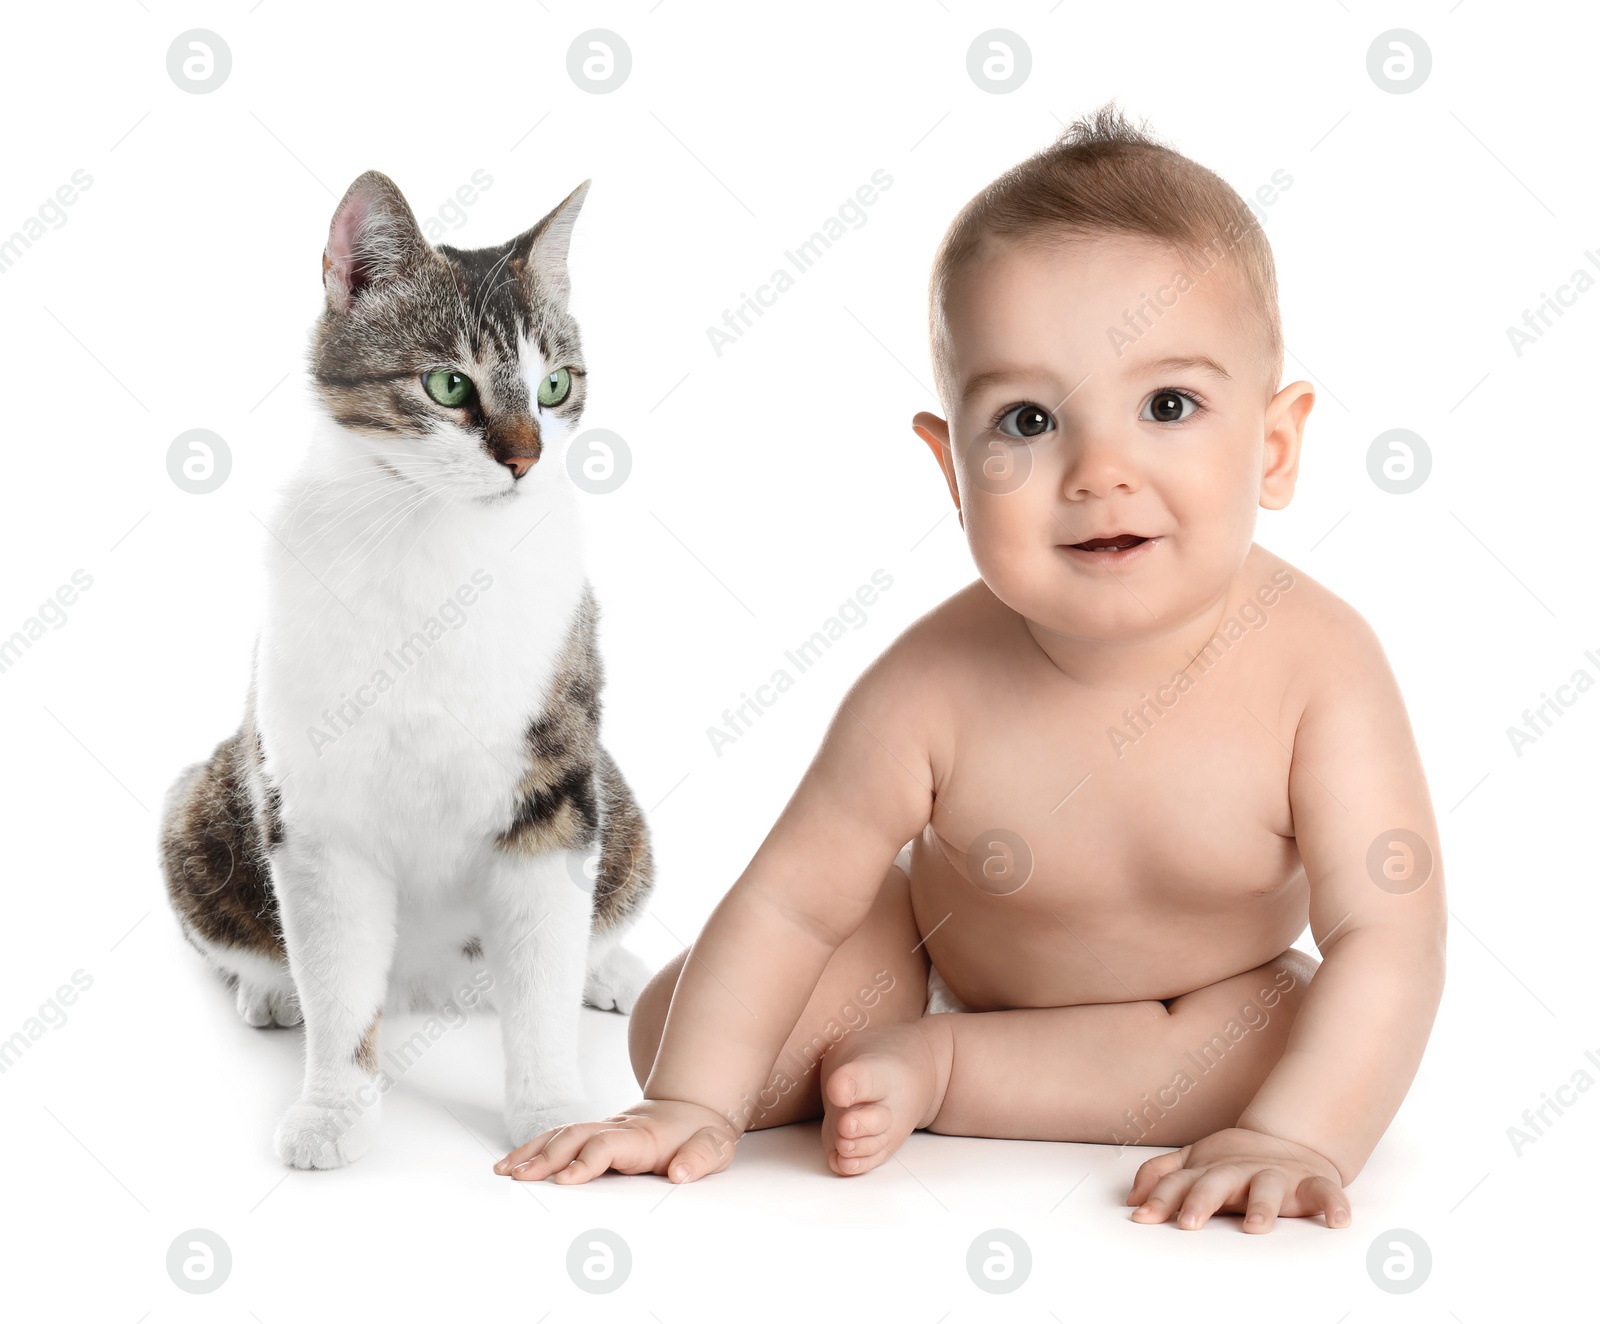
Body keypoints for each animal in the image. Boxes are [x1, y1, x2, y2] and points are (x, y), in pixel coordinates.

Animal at [150, 167, 649, 1170]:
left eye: (556, 385)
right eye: (449, 384)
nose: (526, 459)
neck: (435, 539)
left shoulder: (557, 785)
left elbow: (542, 971)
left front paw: (554, 1118)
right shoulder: (316, 808)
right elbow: (340, 987)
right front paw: (334, 1111)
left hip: (624, 813)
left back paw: (606, 966)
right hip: (201, 807)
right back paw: (271, 990)